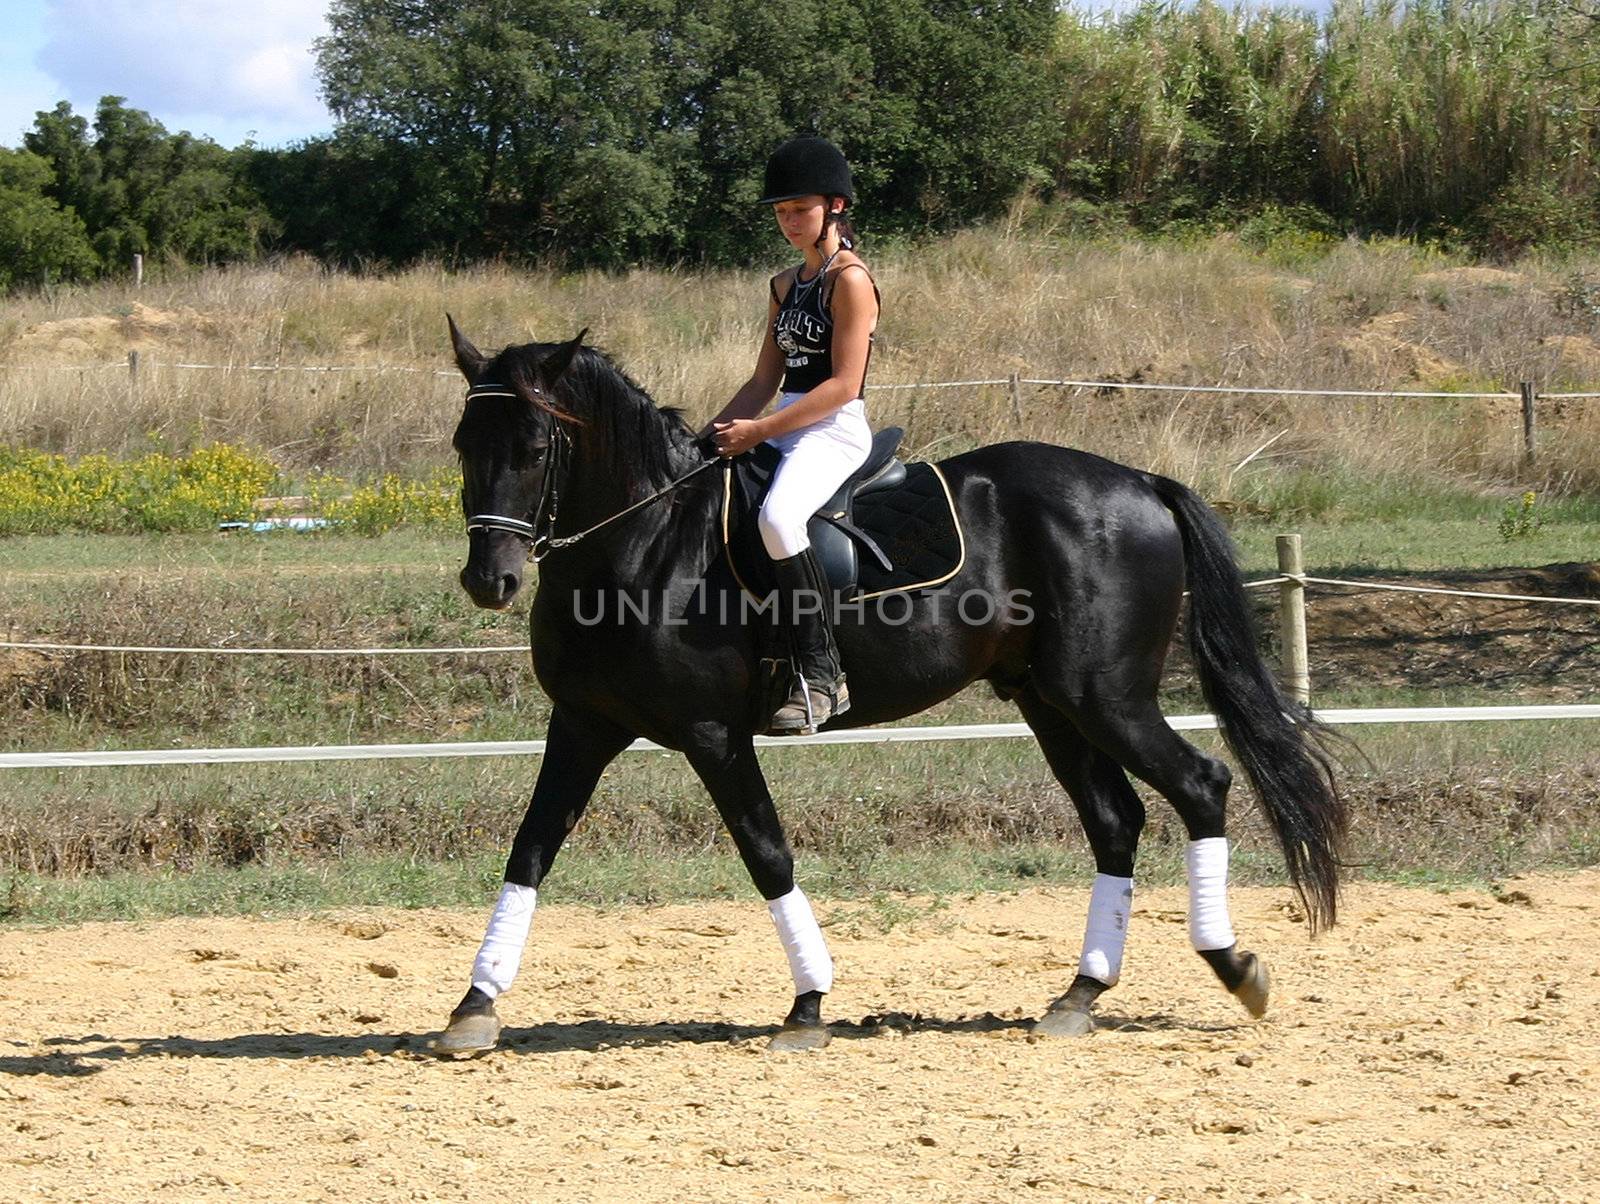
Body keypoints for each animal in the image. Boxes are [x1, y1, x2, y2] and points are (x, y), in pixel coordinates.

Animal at [432, 320, 1344, 1050]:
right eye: (463, 446)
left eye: (536, 449)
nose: (489, 581)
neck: (648, 545)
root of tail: (1141, 483)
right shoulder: (582, 725)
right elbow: (530, 850)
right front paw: (474, 1006)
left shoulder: (711, 735)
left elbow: (767, 852)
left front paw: (807, 1006)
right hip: (1049, 702)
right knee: (1115, 821)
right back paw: (1079, 996)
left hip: (1105, 698)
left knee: (1202, 783)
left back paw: (1234, 967)